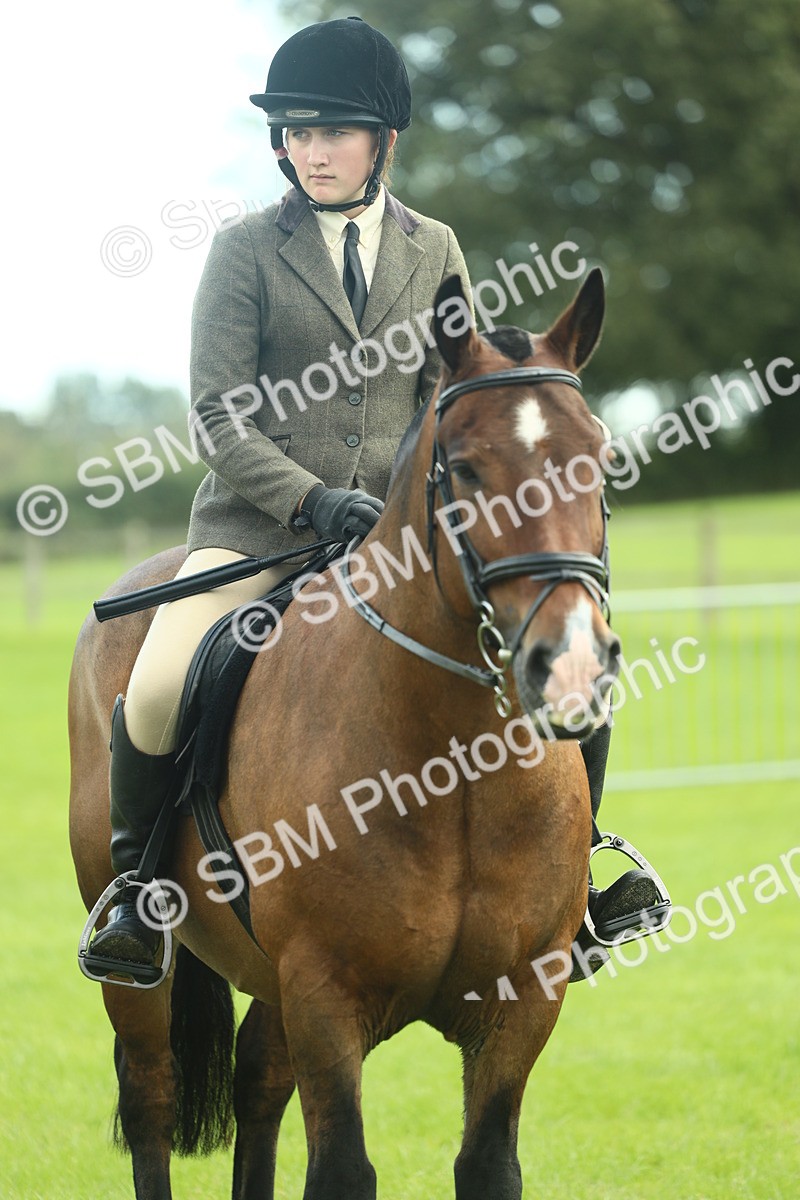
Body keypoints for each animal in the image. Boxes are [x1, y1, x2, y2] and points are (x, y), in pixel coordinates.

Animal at [69, 266, 619, 1200]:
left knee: (257, 1083)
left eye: (602, 460)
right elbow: (341, 1170)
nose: (574, 662)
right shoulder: (326, 994)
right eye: (463, 469)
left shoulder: (524, 1001)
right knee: (151, 1098)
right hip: (144, 974)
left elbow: (488, 1164)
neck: (455, 771)